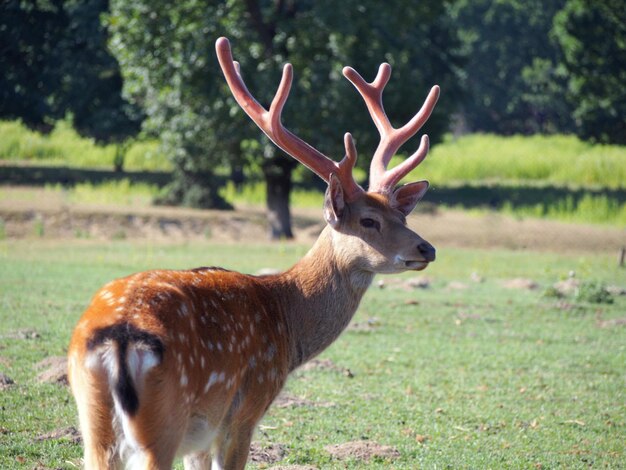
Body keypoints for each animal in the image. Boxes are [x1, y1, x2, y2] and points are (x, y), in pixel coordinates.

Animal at [67, 37, 438, 470]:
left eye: (401, 213)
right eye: (368, 221)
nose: (426, 247)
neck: (286, 321)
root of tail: (119, 339)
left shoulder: (200, 437)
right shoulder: (245, 409)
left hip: (94, 421)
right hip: (164, 421)